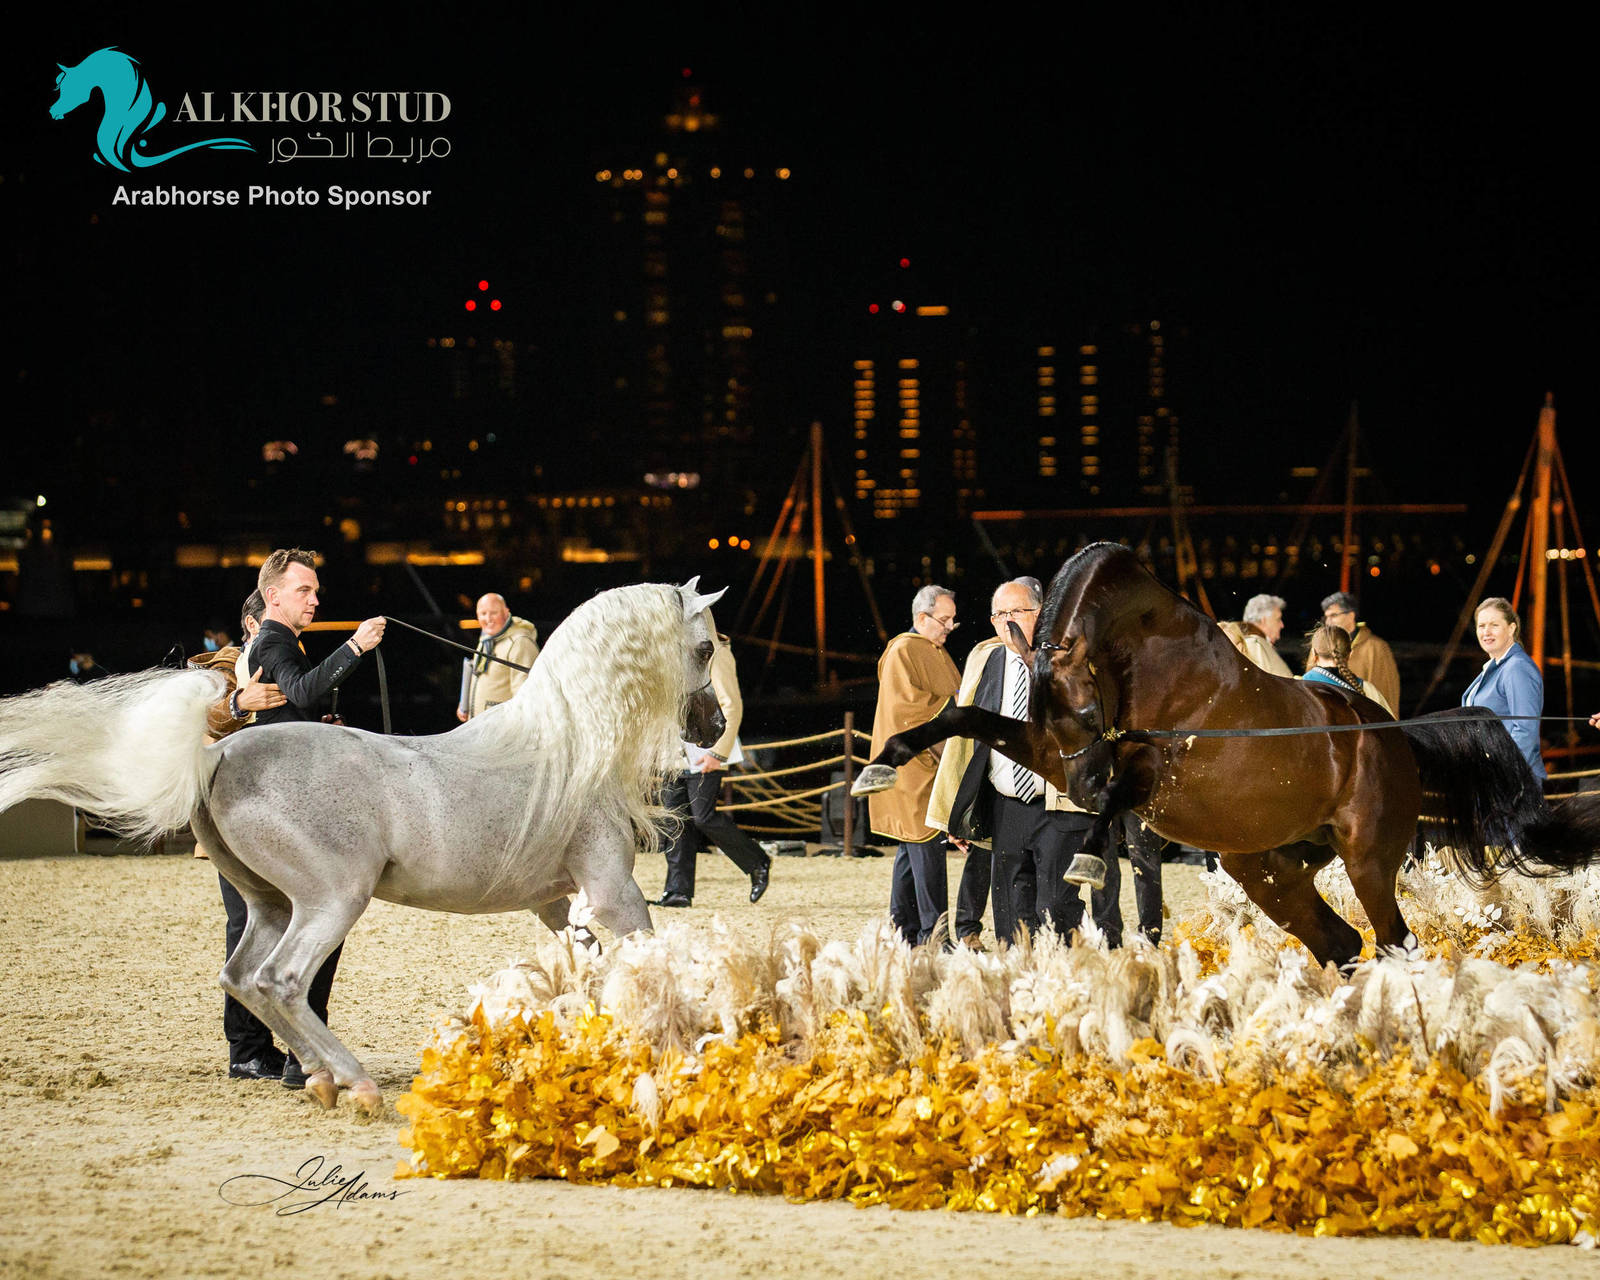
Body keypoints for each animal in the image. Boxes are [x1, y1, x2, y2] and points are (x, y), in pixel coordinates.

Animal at [0, 580, 727, 1112]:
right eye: (705, 648)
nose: (717, 727)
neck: (570, 745)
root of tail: (216, 756)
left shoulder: (556, 903)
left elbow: (589, 972)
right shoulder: (610, 890)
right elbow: (650, 960)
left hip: (271, 903)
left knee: (242, 978)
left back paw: (316, 1076)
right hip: (332, 900)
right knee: (281, 981)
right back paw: (354, 1084)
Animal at [855, 543, 1600, 972]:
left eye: (1086, 704)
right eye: (1042, 704)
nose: (1084, 782)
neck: (1148, 658)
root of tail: (1394, 738)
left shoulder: (1161, 771)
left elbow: (1123, 798)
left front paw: (1089, 857)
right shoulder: (1054, 751)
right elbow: (964, 717)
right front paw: (882, 762)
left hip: (1366, 859)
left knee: (1394, 941)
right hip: (1268, 867)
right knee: (1342, 944)